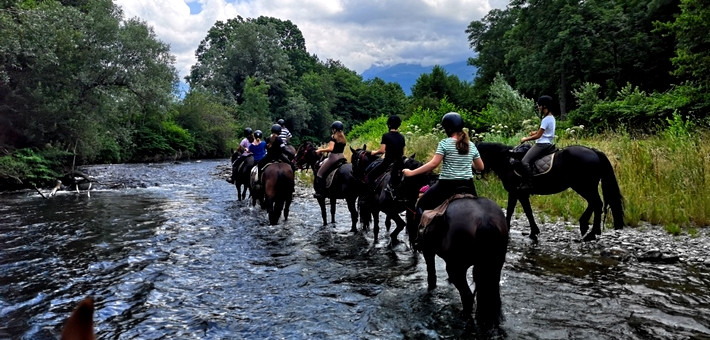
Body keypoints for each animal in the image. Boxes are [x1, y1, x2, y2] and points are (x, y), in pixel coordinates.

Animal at [478, 141, 624, 242]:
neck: (507, 162)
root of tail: (594, 152)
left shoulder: (517, 192)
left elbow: (521, 211)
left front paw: (530, 232)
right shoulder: (517, 193)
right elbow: (517, 211)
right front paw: (532, 232)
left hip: (584, 186)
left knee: (596, 203)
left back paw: (591, 233)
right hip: (585, 187)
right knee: (594, 204)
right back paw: (585, 227)